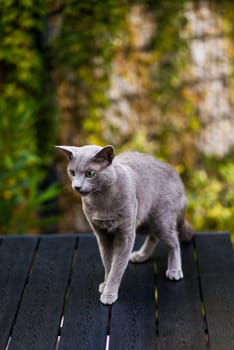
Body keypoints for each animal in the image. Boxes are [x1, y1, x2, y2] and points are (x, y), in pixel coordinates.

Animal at [56, 144, 192, 304]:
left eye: (90, 174)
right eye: (72, 172)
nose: (76, 186)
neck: (101, 200)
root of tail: (178, 177)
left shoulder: (125, 235)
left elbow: (117, 267)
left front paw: (109, 293)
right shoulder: (102, 236)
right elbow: (108, 263)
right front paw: (105, 284)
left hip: (161, 220)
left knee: (174, 240)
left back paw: (174, 270)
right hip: (143, 222)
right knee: (154, 237)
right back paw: (141, 255)